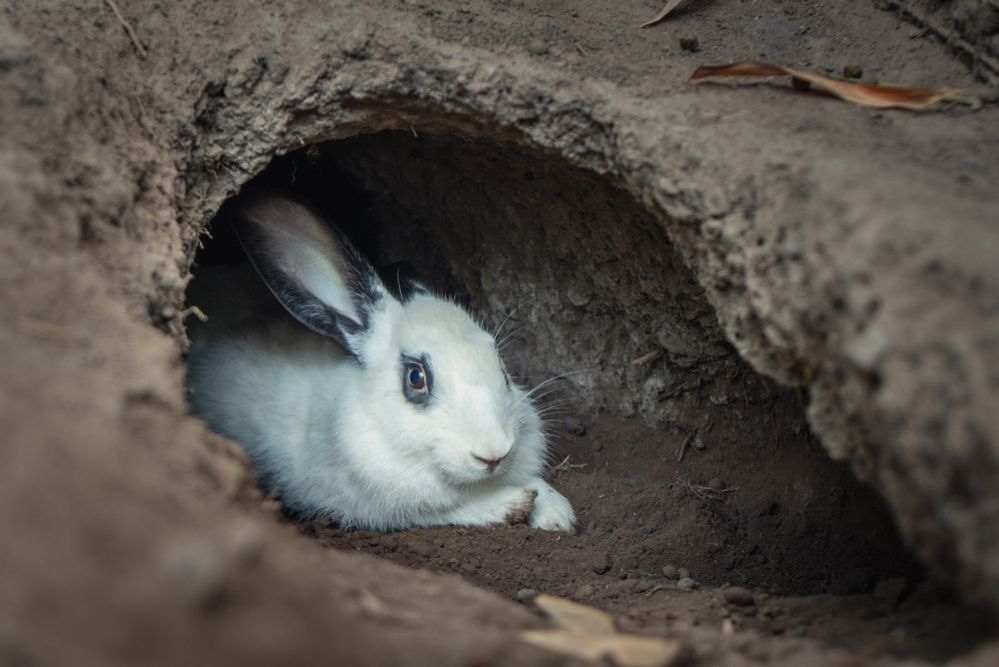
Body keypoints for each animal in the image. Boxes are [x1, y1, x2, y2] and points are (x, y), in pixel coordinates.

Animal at [186, 192, 580, 532]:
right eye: (416, 378)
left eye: (500, 365)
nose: (493, 453)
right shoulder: (384, 507)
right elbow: (453, 509)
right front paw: (518, 504)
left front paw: (556, 512)